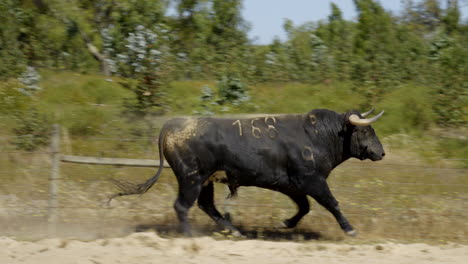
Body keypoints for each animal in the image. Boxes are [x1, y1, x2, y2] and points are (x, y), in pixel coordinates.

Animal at [109, 108, 384, 236]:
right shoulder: (313, 181)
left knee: (206, 205)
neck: (317, 135)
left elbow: (304, 207)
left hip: (205, 181)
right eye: (365, 131)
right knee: (182, 206)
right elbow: (332, 203)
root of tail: (173, 124)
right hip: (191, 178)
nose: (381, 153)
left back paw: (234, 230)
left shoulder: (293, 186)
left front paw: (285, 222)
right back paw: (190, 234)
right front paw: (350, 229)